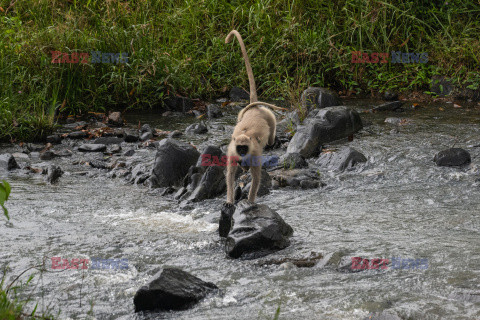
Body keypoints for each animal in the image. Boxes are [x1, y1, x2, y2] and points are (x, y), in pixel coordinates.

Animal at [224, 30, 286, 205]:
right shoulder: (232, 151)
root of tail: (254, 108)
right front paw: (230, 201)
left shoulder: (255, 152)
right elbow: (230, 176)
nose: (243, 154)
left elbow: (257, 178)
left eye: (244, 148)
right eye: (240, 148)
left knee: (270, 136)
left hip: (268, 115)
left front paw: (250, 202)